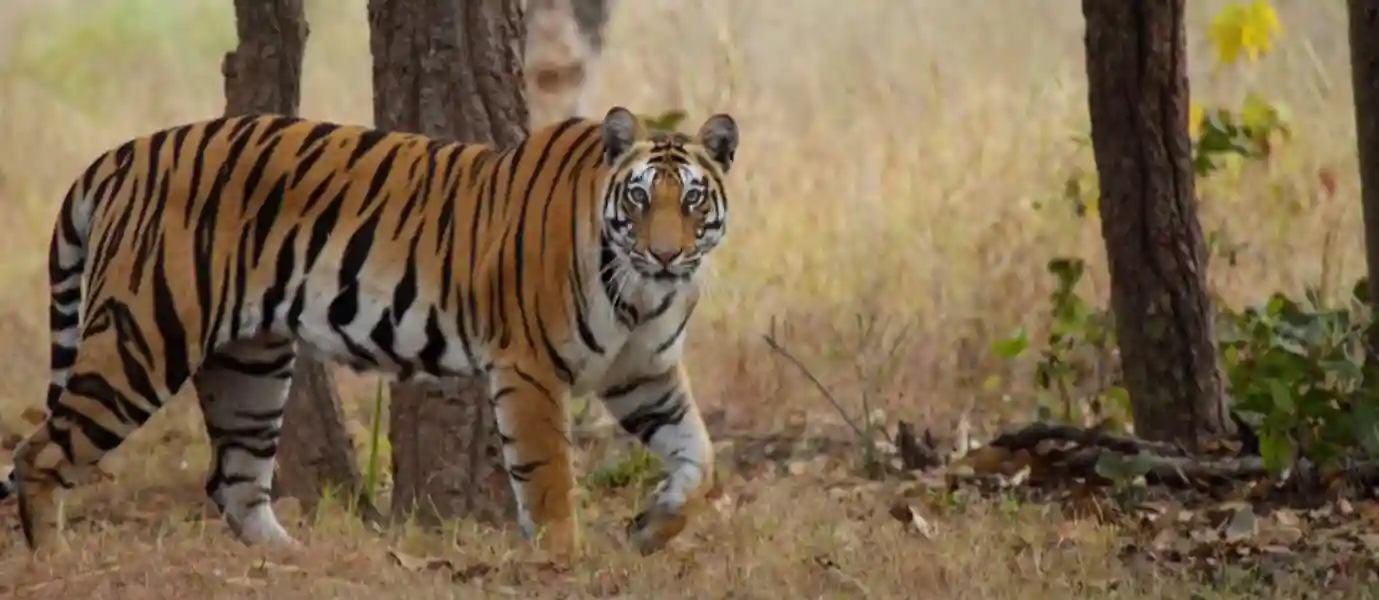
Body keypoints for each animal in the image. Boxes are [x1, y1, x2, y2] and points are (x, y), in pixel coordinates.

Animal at [0, 105, 739, 558]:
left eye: (691, 199)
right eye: (638, 198)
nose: (666, 254)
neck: (643, 294)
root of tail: (121, 154)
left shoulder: (643, 374)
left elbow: (699, 457)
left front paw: (651, 529)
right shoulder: (528, 368)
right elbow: (548, 475)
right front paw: (565, 560)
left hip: (251, 365)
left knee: (235, 482)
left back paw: (292, 563)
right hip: (141, 340)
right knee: (40, 452)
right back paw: (53, 561)